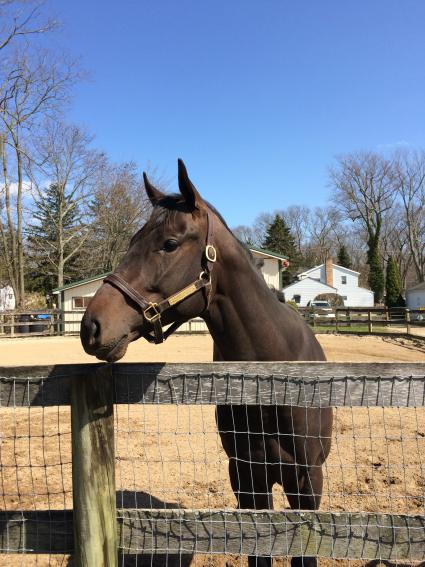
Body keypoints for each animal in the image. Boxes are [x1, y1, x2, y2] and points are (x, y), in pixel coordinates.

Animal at [79, 160, 332, 567]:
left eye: (169, 244)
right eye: (132, 241)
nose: (91, 326)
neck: (272, 378)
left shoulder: (307, 481)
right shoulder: (246, 478)